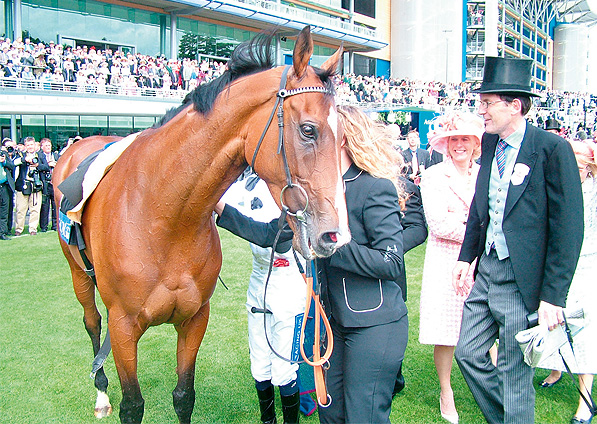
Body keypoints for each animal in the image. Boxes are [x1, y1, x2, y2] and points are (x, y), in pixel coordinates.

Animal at [54, 27, 350, 424]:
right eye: (308, 130)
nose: (334, 234)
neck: (162, 215)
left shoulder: (194, 319)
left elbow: (184, 396)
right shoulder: (123, 327)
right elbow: (132, 405)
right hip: (79, 276)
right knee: (91, 321)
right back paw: (101, 391)